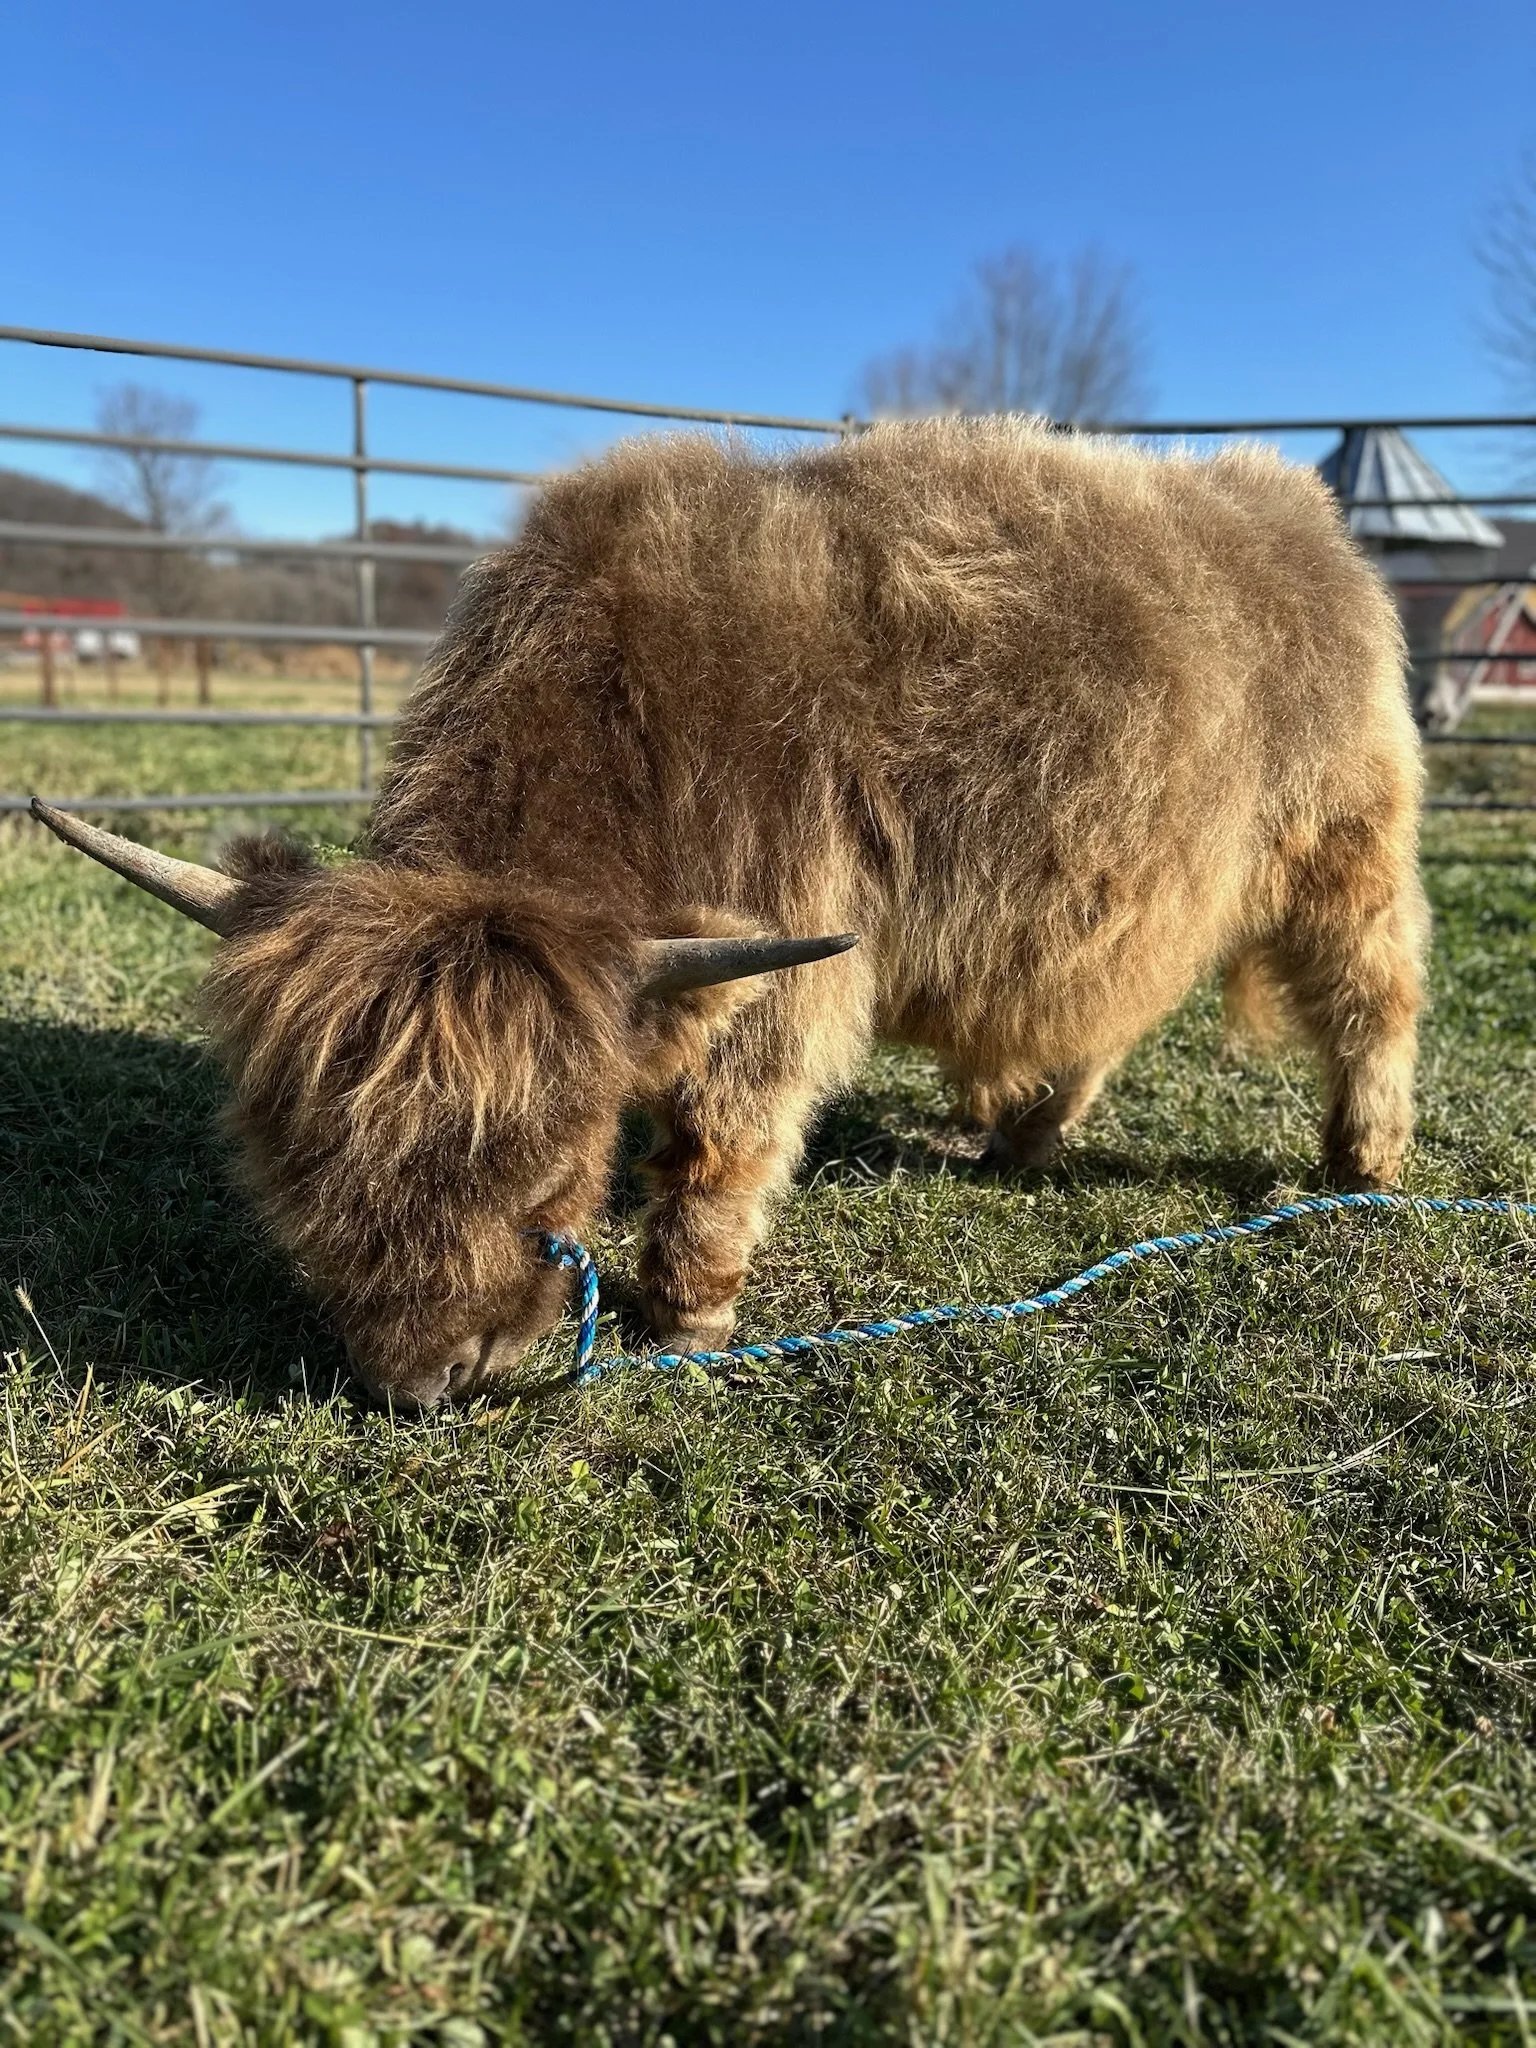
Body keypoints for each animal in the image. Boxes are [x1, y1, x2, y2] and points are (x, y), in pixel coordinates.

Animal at [33, 418, 1427, 1409]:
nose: (426, 1380)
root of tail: (1297, 510)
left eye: (549, 1175)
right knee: (1101, 1016)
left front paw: (687, 1306)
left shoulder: (788, 946)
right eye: (302, 1175)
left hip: (1344, 839)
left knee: (1374, 990)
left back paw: (1364, 1161)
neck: (624, 724)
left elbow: (720, 1137)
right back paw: (1020, 1139)